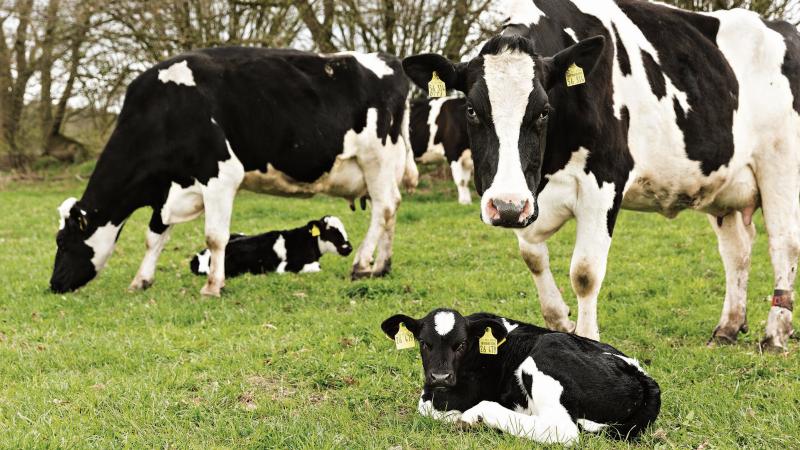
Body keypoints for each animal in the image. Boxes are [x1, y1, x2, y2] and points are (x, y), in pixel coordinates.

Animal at [381, 308, 661, 444]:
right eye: (424, 343)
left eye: (460, 344)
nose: (440, 376)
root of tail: (644, 377)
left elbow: (428, 409)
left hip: (547, 351)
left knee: (563, 430)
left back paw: (475, 417)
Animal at [402, 0, 800, 351]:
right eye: (471, 109)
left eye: (543, 111)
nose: (507, 207)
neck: (551, 166)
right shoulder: (532, 199)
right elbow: (532, 256)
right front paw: (560, 321)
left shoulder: (604, 183)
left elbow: (585, 272)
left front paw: (587, 337)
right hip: (724, 187)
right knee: (737, 251)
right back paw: (728, 327)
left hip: (781, 167)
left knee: (782, 244)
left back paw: (775, 333)